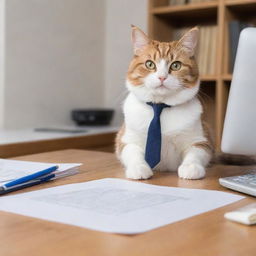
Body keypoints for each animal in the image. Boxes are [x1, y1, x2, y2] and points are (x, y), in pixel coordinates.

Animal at [115, 24, 212, 180]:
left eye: (176, 65)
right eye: (149, 64)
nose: (162, 77)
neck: (160, 108)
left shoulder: (200, 140)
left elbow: (196, 152)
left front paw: (191, 167)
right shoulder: (126, 139)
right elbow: (133, 152)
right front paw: (139, 167)